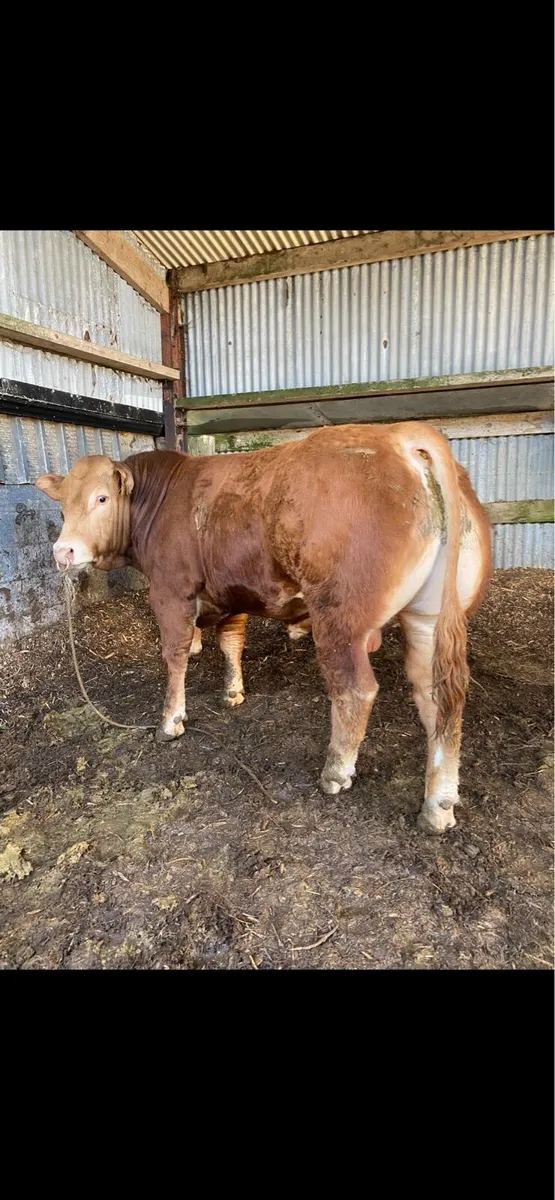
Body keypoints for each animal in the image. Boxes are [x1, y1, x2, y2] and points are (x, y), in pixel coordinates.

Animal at [35, 422, 492, 833]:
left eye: (101, 497)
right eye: (62, 508)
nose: (63, 551)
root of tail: (400, 435)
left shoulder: (169, 591)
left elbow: (175, 655)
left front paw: (171, 722)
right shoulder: (230, 591)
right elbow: (231, 641)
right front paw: (233, 692)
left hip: (340, 617)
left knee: (355, 691)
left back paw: (335, 773)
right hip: (428, 619)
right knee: (439, 699)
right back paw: (437, 806)